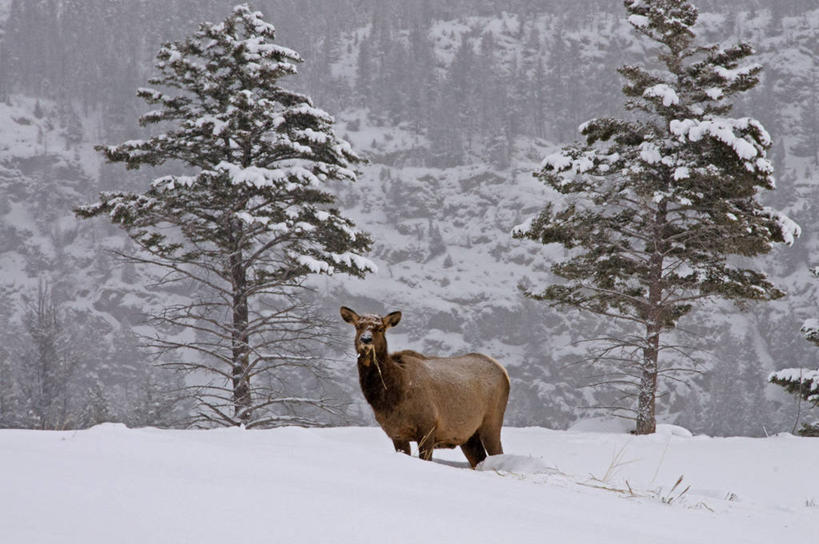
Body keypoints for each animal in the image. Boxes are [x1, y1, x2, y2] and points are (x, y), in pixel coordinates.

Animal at [338, 306, 506, 468]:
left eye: (380, 328)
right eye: (358, 326)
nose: (366, 339)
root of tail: (503, 371)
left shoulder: (428, 426)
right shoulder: (396, 433)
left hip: (492, 422)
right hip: (468, 436)